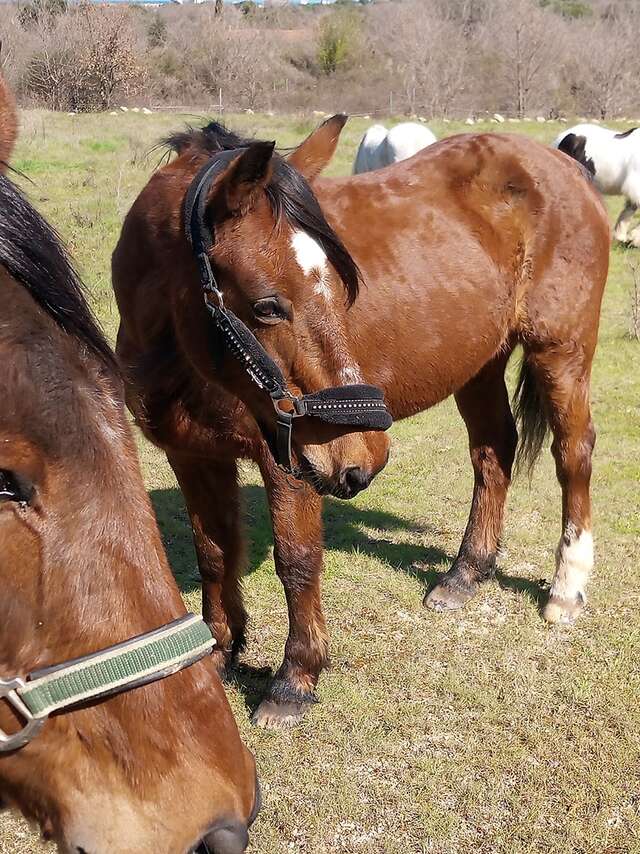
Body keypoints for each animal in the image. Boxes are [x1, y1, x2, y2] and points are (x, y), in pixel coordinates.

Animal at [112, 115, 608, 728]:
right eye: (268, 305)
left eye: (341, 279)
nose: (364, 458)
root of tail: (567, 165)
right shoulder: (194, 454)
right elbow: (213, 552)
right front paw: (222, 651)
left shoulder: (290, 462)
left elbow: (297, 561)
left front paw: (294, 681)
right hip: (481, 364)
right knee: (494, 450)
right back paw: (466, 573)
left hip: (560, 352)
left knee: (573, 455)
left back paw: (565, 587)